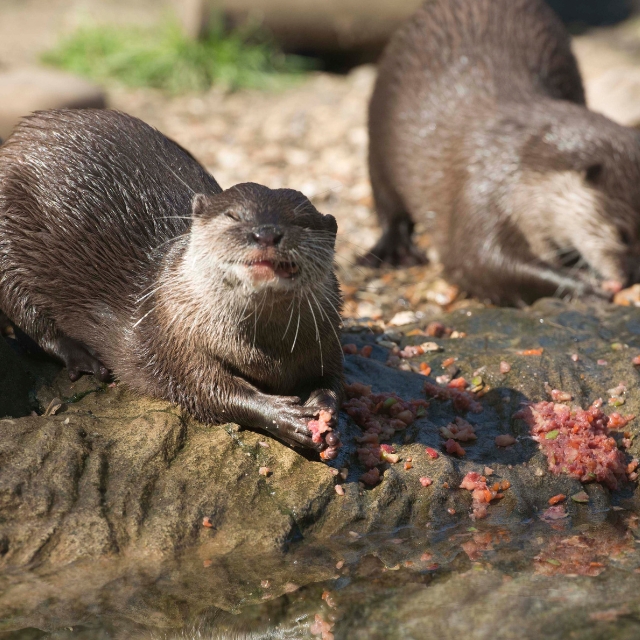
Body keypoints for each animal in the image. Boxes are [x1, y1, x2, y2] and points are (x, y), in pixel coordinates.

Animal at [0, 109, 342, 450]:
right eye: (233, 216)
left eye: (301, 222)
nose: (267, 233)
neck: (267, 353)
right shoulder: (175, 337)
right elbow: (212, 393)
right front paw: (284, 416)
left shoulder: (329, 338)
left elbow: (334, 380)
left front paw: (325, 410)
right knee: (30, 320)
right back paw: (84, 359)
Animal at [362, 0, 640, 304]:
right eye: (623, 234)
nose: (632, 276)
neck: (521, 168)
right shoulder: (481, 193)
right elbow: (478, 262)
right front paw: (584, 287)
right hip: (380, 123)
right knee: (386, 197)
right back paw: (393, 249)